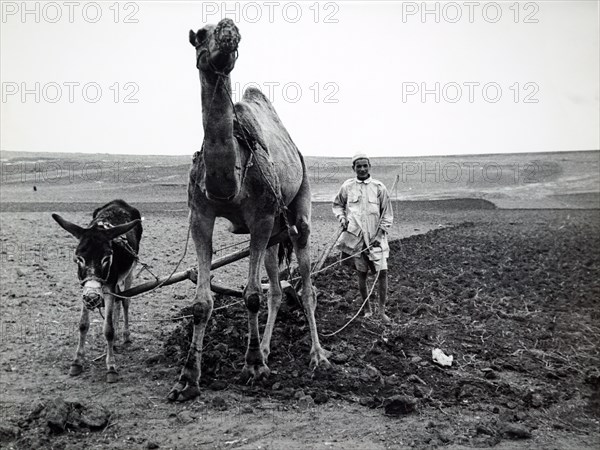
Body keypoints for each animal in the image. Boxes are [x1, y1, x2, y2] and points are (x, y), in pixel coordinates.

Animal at [168, 18, 332, 404]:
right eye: (201, 34)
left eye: (230, 31)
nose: (228, 29)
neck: (231, 177)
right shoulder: (200, 216)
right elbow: (202, 303)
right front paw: (187, 378)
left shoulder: (261, 217)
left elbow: (251, 296)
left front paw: (254, 368)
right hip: (274, 237)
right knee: (276, 289)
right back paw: (270, 348)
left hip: (298, 210)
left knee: (305, 287)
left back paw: (317, 356)